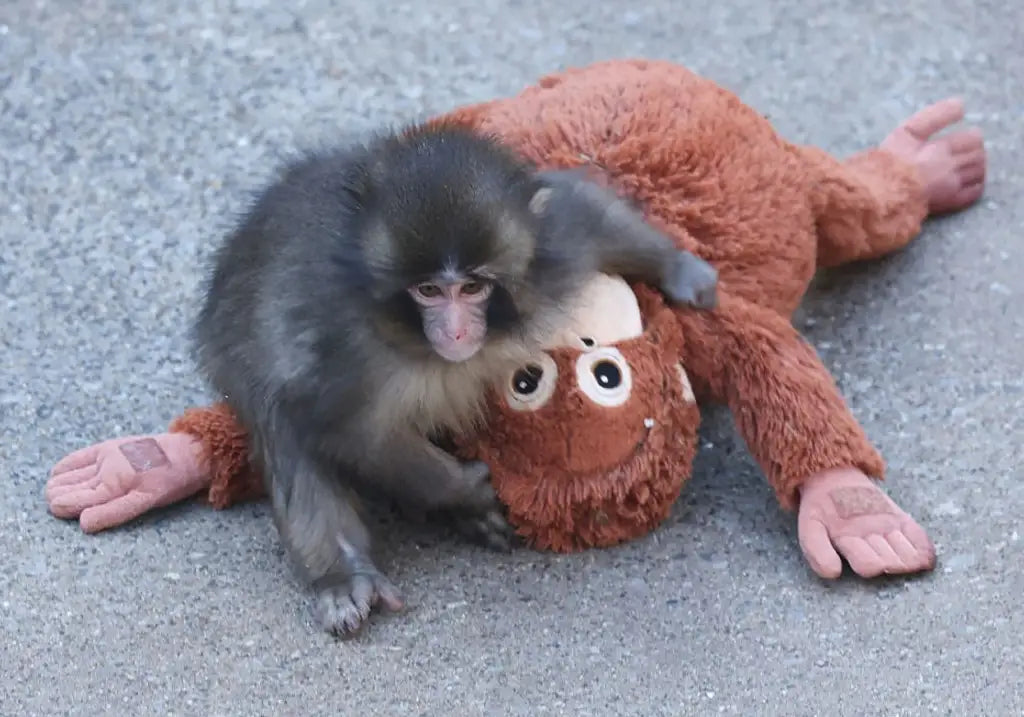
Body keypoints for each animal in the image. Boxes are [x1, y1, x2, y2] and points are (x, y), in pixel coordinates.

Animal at [191, 121, 718, 637]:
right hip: (232, 355)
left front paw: (681, 269)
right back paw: (344, 574)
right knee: (282, 425)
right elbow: (350, 431)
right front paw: (466, 489)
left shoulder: (553, 251)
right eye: (428, 290)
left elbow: (584, 211)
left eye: (471, 287)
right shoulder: (341, 350)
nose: (456, 330)